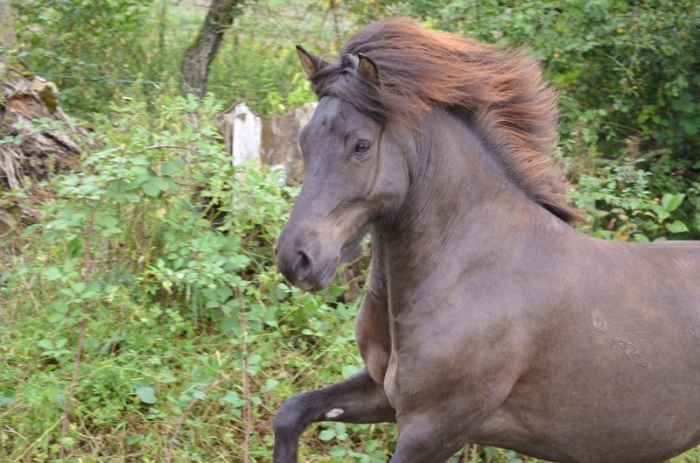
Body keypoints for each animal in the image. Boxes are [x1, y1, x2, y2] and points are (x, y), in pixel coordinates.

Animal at [272, 17, 700, 463]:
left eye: (361, 145)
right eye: (304, 140)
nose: (296, 258)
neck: (467, 272)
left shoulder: (433, 428)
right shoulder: (382, 394)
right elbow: (291, 413)